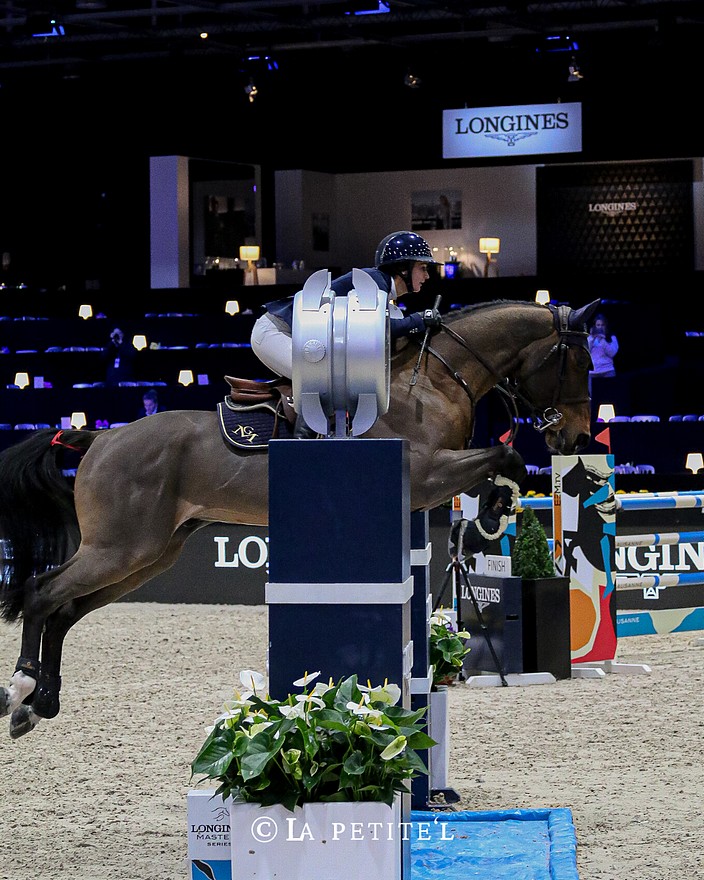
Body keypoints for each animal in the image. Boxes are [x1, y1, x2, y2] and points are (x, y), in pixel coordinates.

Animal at [0, 300, 600, 740]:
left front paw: (496, 504)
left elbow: (500, 460)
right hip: (119, 548)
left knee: (66, 608)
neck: (434, 379)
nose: (572, 436)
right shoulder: (428, 472)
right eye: (579, 363)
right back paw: (20, 689)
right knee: (42, 592)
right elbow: (506, 455)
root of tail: (100, 437)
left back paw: (41, 701)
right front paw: (499, 501)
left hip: (150, 554)